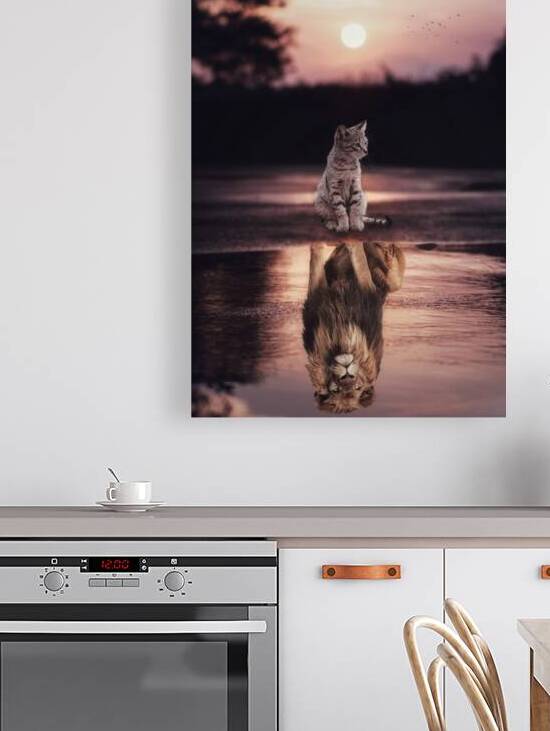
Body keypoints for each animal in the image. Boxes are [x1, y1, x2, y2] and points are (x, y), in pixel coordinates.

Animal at [302, 241, 405, 414]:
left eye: (357, 388)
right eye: (335, 390)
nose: (347, 373)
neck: (340, 337)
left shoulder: (367, 292)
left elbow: (359, 258)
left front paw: (353, 243)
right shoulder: (315, 301)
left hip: (394, 282)